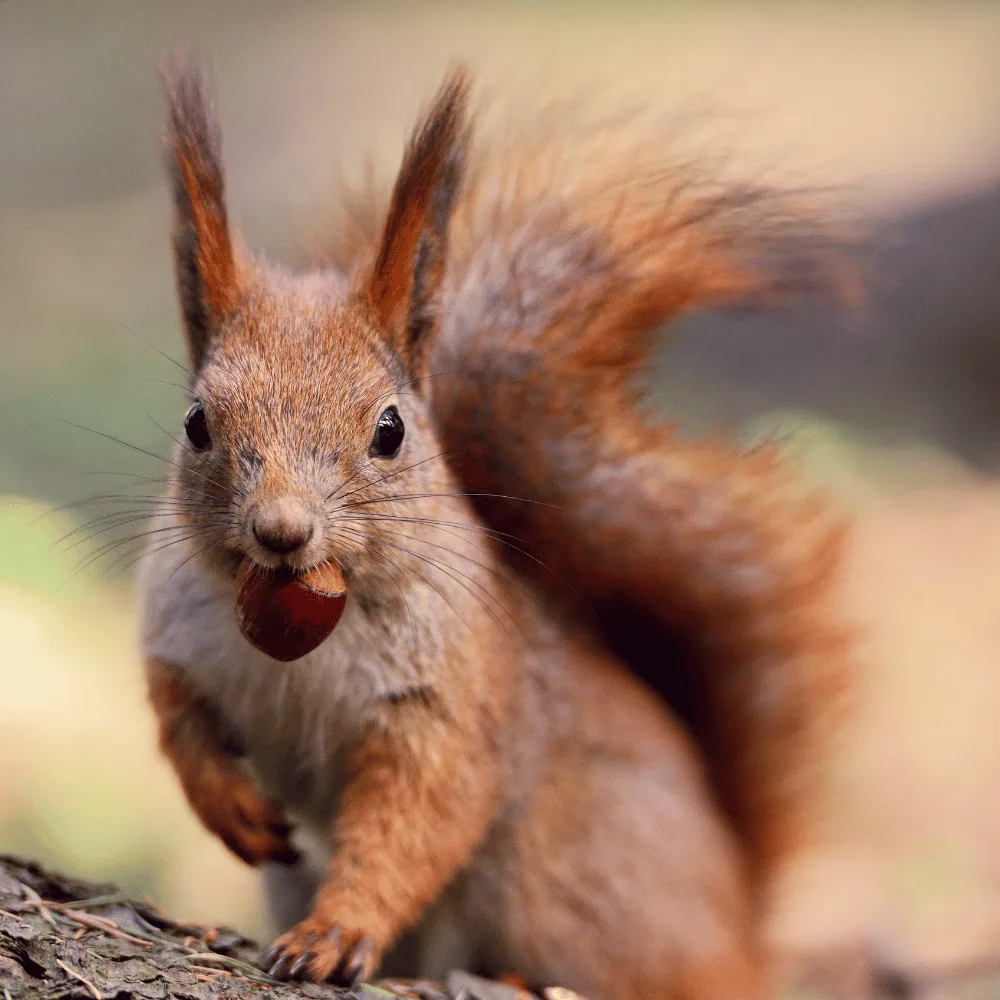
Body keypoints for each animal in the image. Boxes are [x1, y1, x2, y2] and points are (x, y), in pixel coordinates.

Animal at [138, 59, 853, 1000]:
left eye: (391, 430)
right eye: (196, 423)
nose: (282, 532)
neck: (303, 627)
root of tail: (740, 927)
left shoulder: (451, 701)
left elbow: (415, 820)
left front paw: (337, 930)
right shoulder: (176, 635)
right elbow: (177, 720)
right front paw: (228, 805)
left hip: (561, 868)